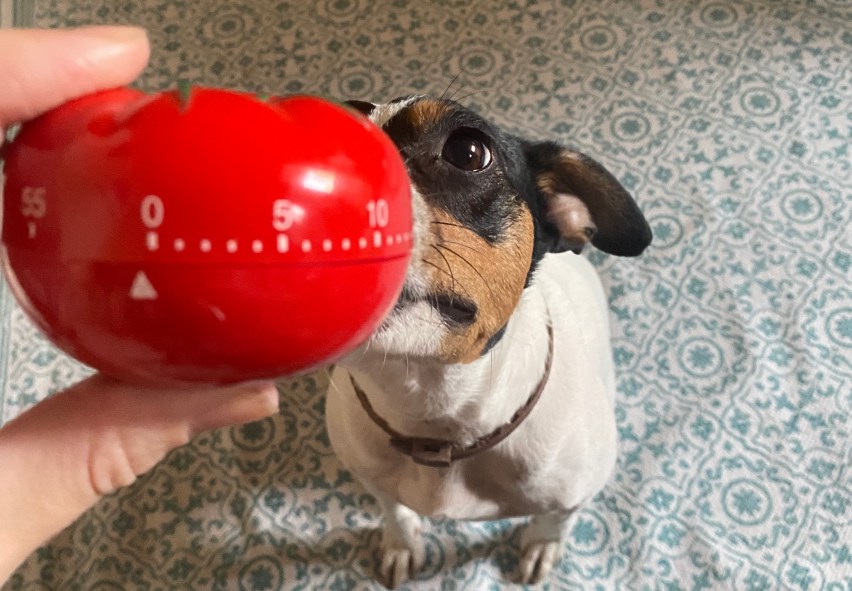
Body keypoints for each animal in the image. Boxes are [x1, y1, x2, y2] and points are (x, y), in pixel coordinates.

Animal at [326, 97, 652, 588]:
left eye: (468, 152)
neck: (436, 411)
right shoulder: (371, 472)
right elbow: (393, 508)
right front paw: (401, 543)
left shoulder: (573, 493)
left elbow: (555, 520)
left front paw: (542, 544)